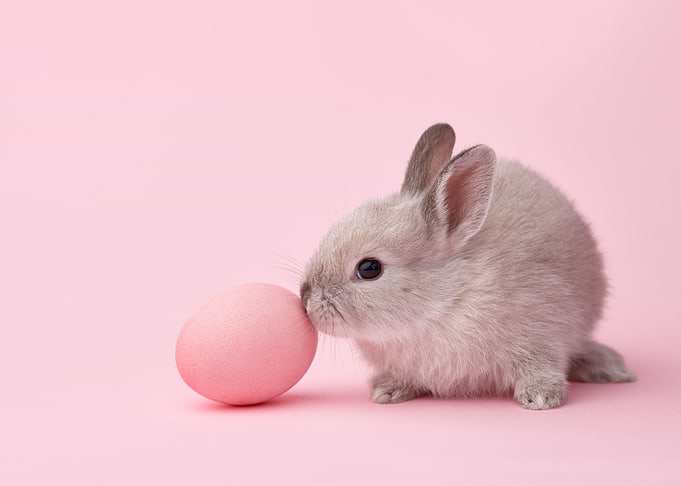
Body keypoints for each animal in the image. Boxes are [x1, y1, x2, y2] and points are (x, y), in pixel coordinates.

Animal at [299, 123, 635, 410]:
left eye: (370, 268)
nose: (305, 298)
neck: (444, 303)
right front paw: (388, 391)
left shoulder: (544, 333)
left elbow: (542, 364)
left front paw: (541, 398)